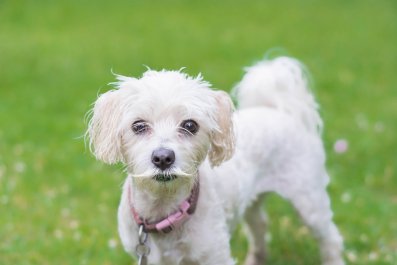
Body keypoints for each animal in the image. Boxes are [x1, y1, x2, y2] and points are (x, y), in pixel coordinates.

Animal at [86, 56, 344, 264]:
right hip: (251, 202)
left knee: (331, 238)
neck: (164, 210)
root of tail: (281, 111)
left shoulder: (215, 255)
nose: (163, 157)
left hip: (309, 200)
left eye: (190, 125)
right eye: (138, 125)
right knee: (260, 225)